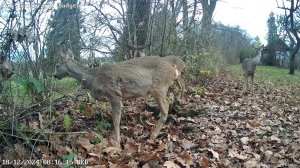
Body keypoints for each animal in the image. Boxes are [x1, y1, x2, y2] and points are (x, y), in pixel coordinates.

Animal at [54, 43, 182, 147]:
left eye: (57, 65)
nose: (55, 75)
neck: (93, 77)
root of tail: (173, 70)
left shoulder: (115, 94)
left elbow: (116, 121)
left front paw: (117, 142)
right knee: (168, 101)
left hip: (159, 87)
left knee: (165, 107)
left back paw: (153, 136)